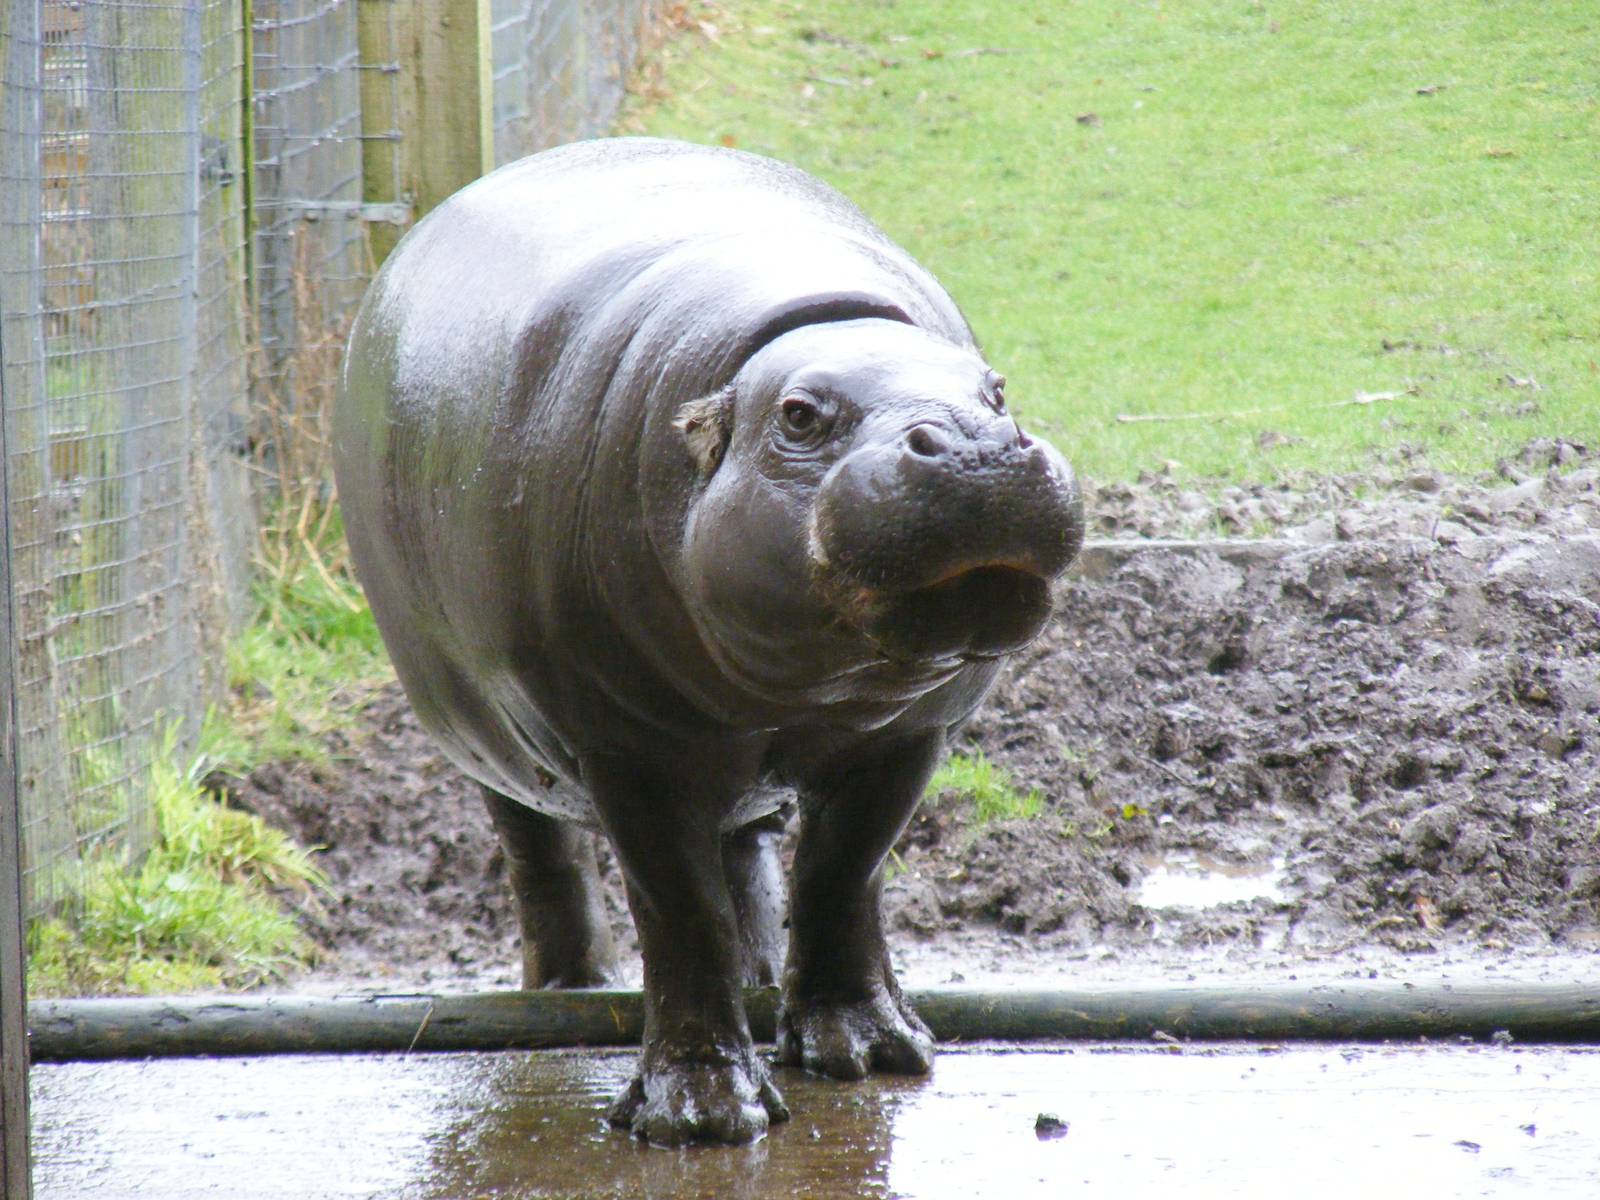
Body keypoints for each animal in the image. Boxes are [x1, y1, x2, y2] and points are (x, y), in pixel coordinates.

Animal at [333, 137, 1083, 1145]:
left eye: (996, 391)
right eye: (799, 415)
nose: (979, 446)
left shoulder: (905, 735)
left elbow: (841, 875)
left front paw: (869, 1050)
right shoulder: (632, 751)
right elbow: (681, 914)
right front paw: (702, 1115)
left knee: (750, 853)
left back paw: (767, 986)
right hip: (484, 733)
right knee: (540, 856)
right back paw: (570, 993)